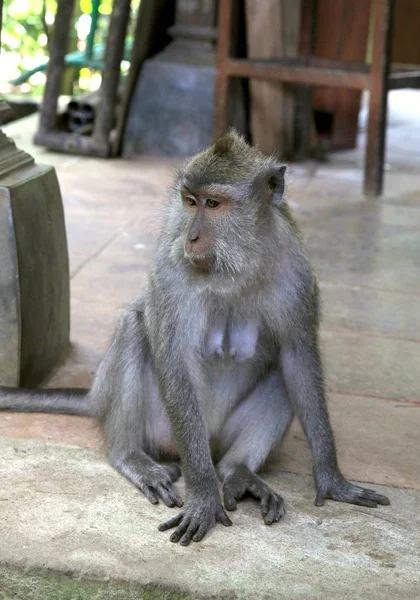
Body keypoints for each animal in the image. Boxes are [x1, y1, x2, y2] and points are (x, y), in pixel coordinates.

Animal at [0, 129, 390, 548]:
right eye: (190, 201)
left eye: (213, 203)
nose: (192, 236)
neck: (236, 264)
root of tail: (96, 396)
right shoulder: (173, 271)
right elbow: (177, 362)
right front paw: (203, 496)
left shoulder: (296, 271)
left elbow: (298, 358)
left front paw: (332, 479)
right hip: (161, 429)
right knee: (135, 329)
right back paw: (130, 456)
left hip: (219, 437)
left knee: (279, 373)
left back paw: (239, 470)